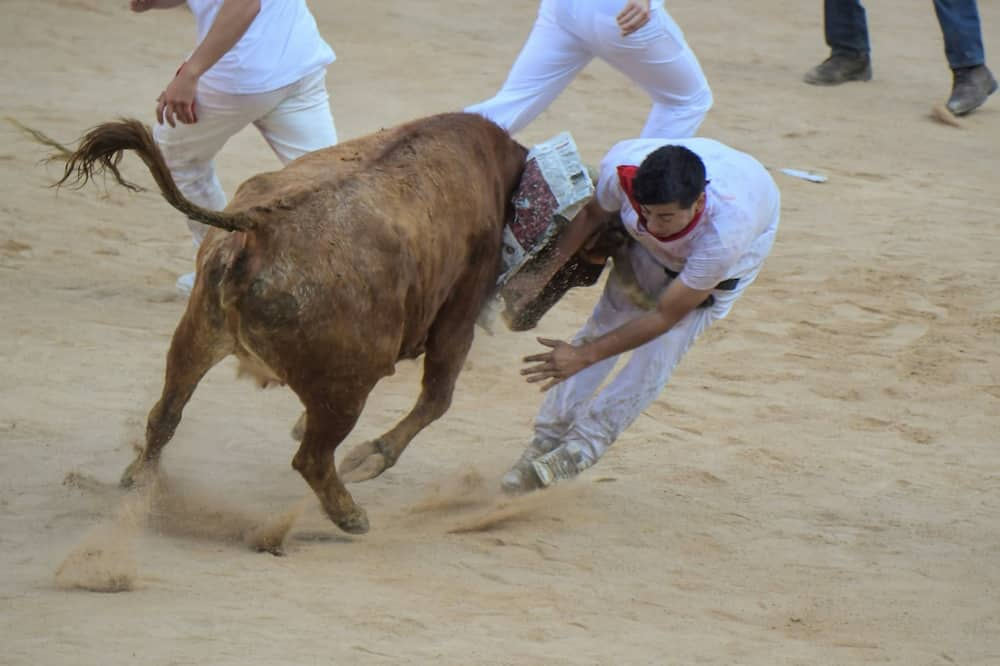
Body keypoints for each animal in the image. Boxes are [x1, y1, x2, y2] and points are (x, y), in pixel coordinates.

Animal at [58, 111, 608, 532]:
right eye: (589, 260)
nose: (528, 316)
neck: (501, 177)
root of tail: (260, 226)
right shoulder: (459, 313)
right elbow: (438, 398)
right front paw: (370, 457)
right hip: (348, 386)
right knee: (312, 458)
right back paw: (349, 514)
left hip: (195, 336)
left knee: (165, 414)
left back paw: (139, 480)